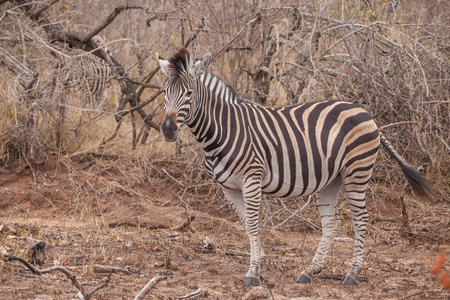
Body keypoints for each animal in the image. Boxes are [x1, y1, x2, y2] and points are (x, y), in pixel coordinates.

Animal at [156, 48, 430, 286]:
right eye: (164, 92)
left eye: (189, 93)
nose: (168, 129)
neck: (223, 130)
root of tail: (364, 112)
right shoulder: (229, 188)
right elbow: (246, 224)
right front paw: (260, 263)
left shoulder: (252, 178)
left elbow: (253, 223)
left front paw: (253, 273)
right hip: (332, 179)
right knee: (332, 222)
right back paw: (310, 271)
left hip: (357, 172)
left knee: (360, 218)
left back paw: (352, 275)